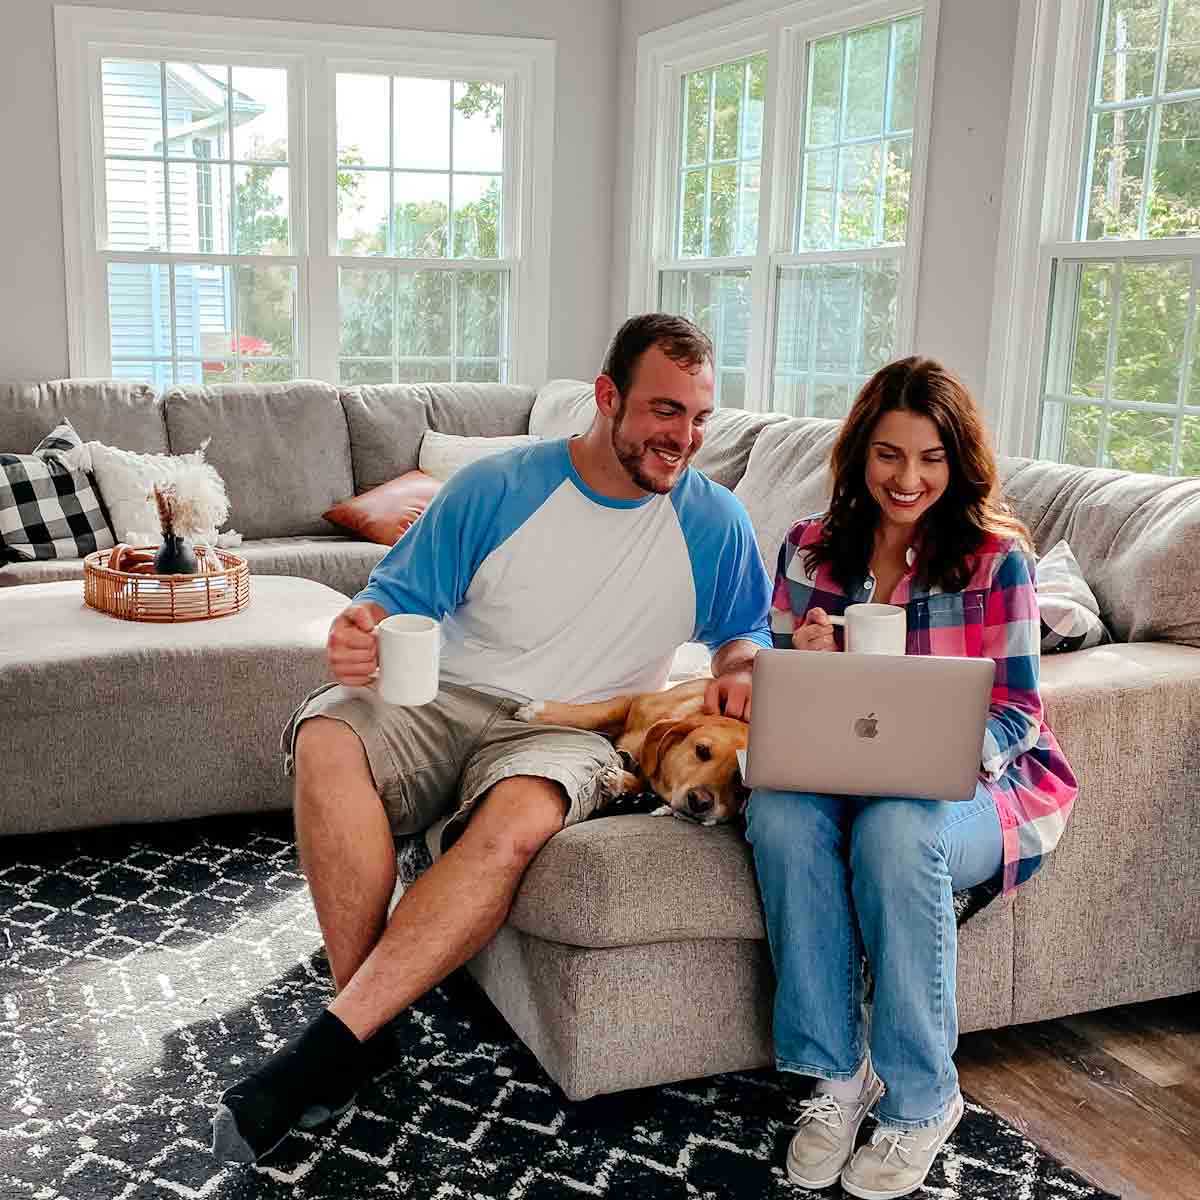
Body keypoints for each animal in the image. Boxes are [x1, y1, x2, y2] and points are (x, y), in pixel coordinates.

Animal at [518, 676, 744, 825]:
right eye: (702, 750)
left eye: (741, 784)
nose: (700, 801)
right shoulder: (633, 702)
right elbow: (597, 713)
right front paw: (535, 712)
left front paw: (621, 782)